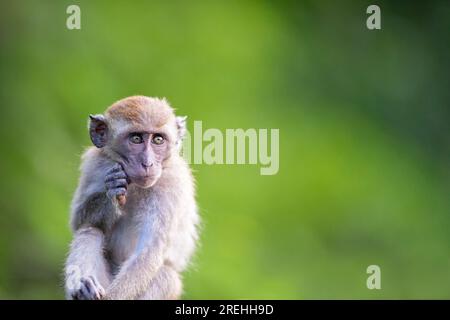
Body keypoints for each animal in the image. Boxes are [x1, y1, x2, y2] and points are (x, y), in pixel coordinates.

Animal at [63, 95, 199, 300]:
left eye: (158, 139)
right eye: (136, 139)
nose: (148, 163)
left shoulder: (172, 184)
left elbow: (148, 253)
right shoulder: (95, 164)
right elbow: (78, 221)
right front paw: (112, 190)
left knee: (166, 276)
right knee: (90, 231)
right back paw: (85, 288)